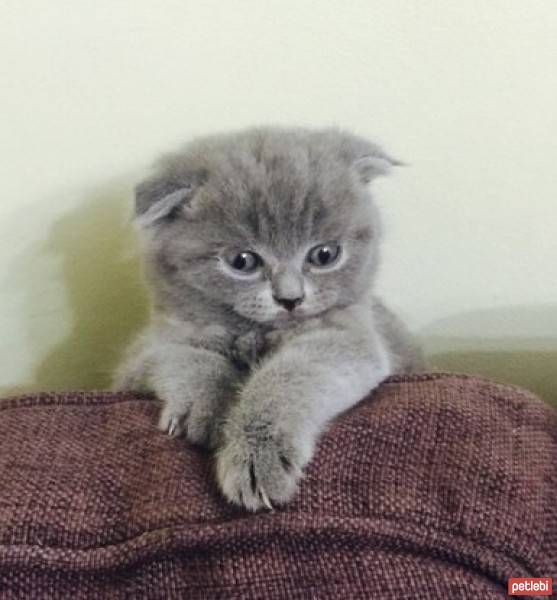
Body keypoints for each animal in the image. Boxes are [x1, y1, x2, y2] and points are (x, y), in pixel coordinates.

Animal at [115, 126, 424, 510]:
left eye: (325, 255)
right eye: (242, 262)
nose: (290, 298)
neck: (254, 333)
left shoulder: (347, 337)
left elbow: (290, 376)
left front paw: (256, 457)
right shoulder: (145, 352)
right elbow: (182, 355)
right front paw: (207, 406)